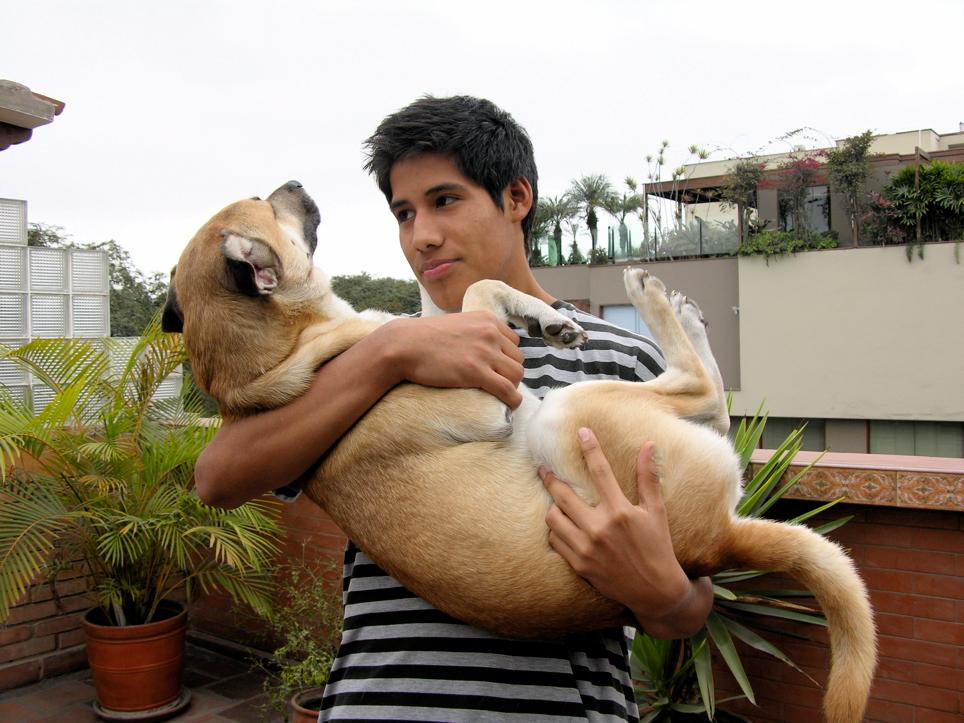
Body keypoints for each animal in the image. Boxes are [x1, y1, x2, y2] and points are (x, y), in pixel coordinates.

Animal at [164, 182, 872, 723]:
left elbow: (471, 291)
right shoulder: (480, 394)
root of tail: (718, 539)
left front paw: (535, 313)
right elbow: (476, 294)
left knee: (710, 399)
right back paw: (650, 297)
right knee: (703, 392)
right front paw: (539, 314)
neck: (283, 355)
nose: (294, 183)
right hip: (573, 415)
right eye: (263, 201)